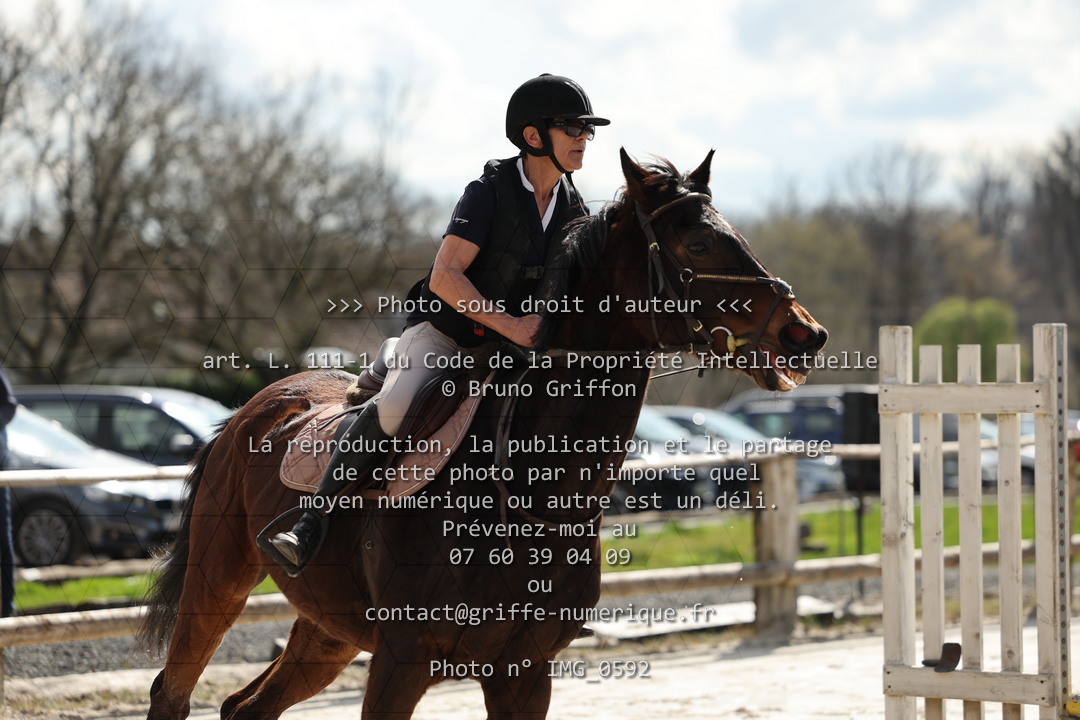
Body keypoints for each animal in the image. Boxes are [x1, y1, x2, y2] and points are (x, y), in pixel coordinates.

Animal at [138, 148, 828, 719]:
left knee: (246, 708)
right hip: (219, 580)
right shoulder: (401, 662)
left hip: (327, 627)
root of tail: (252, 409)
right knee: (173, 692)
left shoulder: (524, 672)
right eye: (700, 244)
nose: (806, 335)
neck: (528, 491)